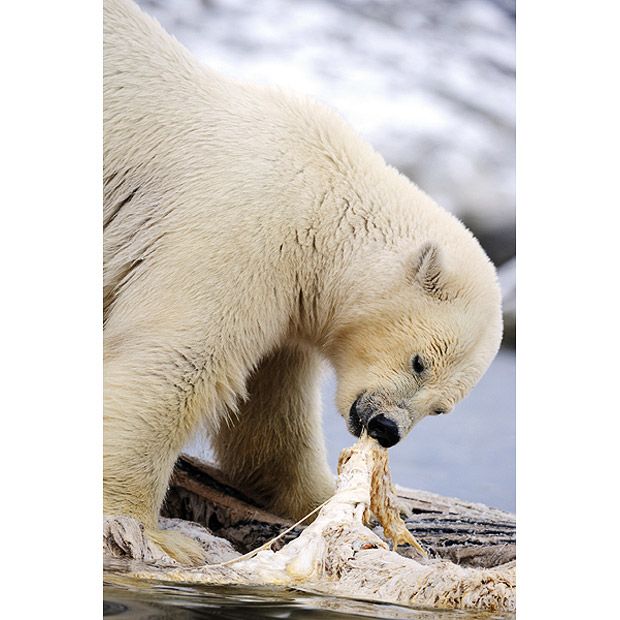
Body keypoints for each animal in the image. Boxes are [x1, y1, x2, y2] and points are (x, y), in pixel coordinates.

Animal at [105, 0, 504, 564]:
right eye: (418, 361)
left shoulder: (289, 294)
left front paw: (329, 498)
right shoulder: (243, 229)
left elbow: (270, 414)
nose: (386, 428)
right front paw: (146, 528)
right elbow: (177, 360)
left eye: (442, 407)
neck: (324, 201)